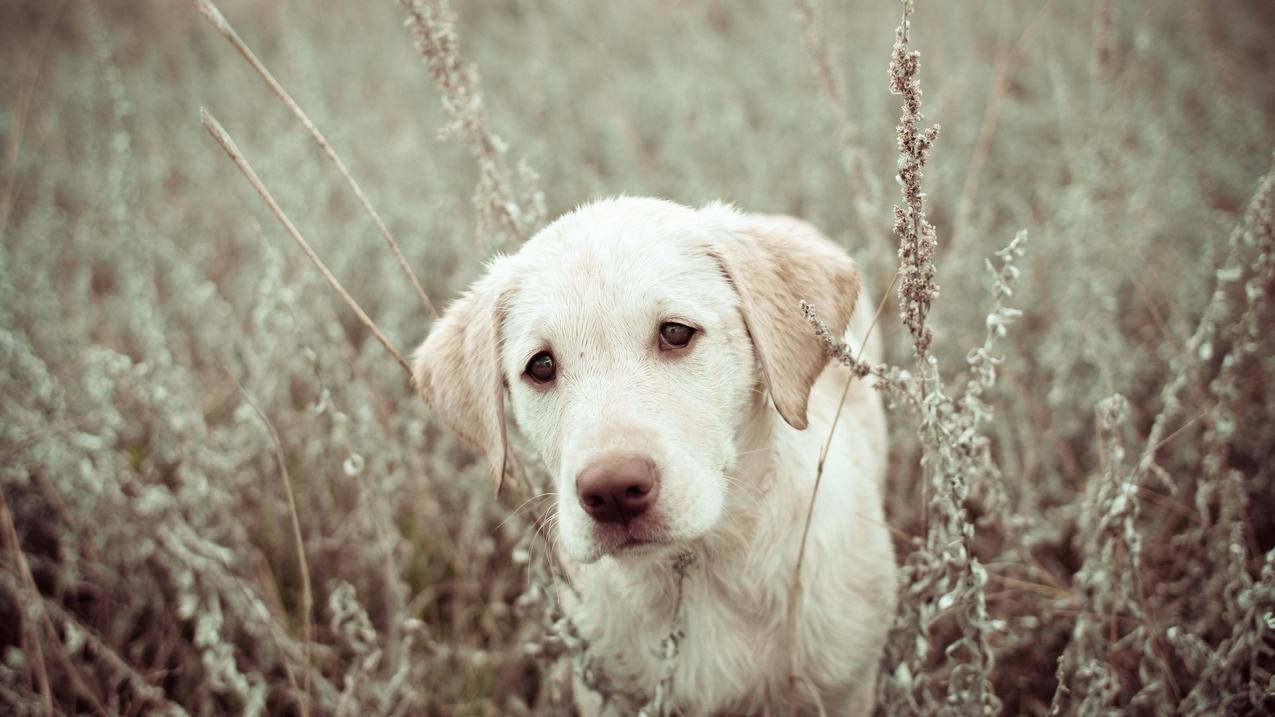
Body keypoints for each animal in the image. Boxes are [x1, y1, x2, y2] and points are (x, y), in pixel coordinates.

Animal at [413, 196, 892, 714]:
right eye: (540, 366)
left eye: (676, 333)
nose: (612, 492)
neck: (699, 572)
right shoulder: (606, 692)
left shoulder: (845, 688)